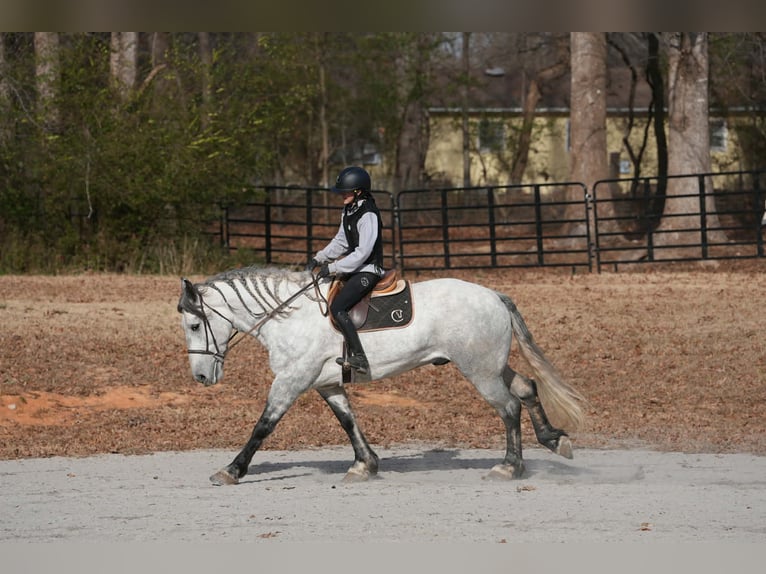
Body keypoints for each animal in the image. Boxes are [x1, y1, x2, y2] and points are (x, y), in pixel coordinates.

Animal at [176, 265, 586, 485]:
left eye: (195, 325)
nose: (201, 377)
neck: (288, 316)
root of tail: (493, 295)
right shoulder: (326, 383)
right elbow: (348, 421)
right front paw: (365, 465)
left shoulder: (292, 380)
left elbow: (263, 425)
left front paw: (231, 470)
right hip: (492, 365)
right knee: (527, 388)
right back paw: (554, 440)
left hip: (479, 369)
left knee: (509, 407)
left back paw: (509, 467)